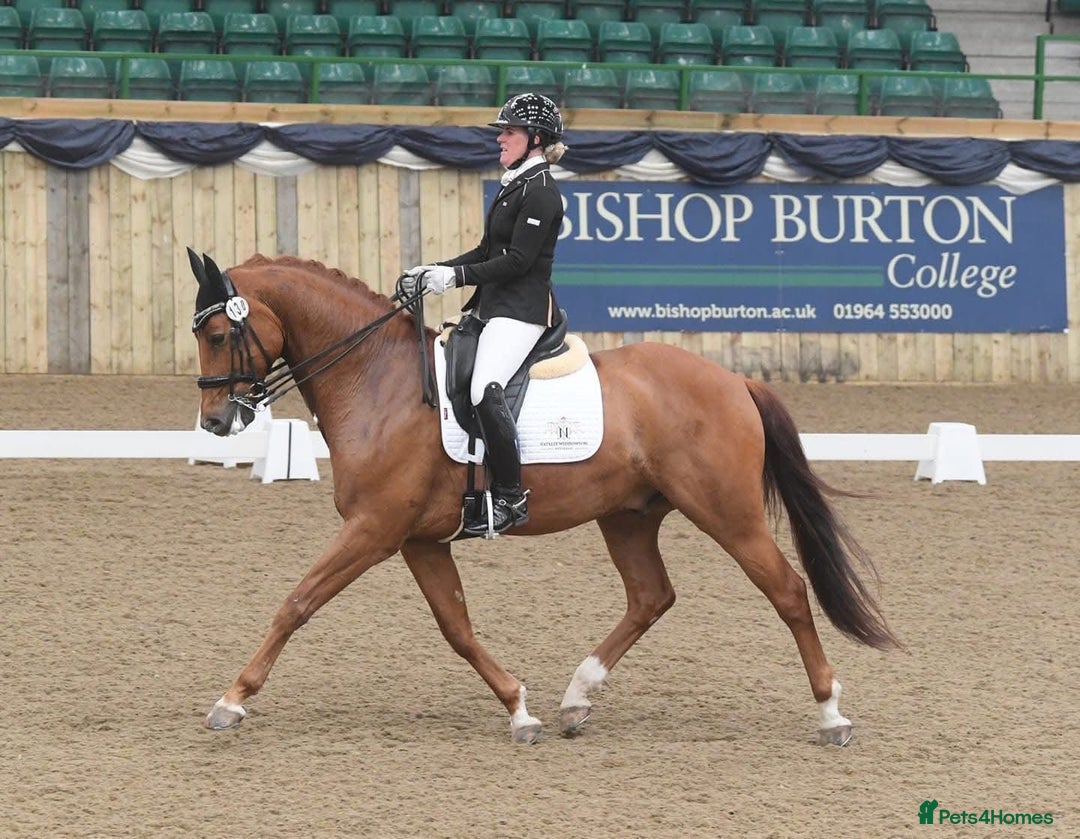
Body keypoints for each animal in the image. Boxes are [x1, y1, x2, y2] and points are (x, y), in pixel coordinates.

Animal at [189, 251, 899, 746]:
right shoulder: (416, 539)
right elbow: (457, 628)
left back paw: (831, 714)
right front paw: (520, 709)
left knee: (787, 590)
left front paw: (231, 700)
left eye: (219, 336)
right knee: (651, 596)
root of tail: (733, 379)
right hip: (628, 516)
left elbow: (297, 602)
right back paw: (576, 699)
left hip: (727, 511)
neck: (376, 380)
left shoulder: (374, 528)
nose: (217, 423)